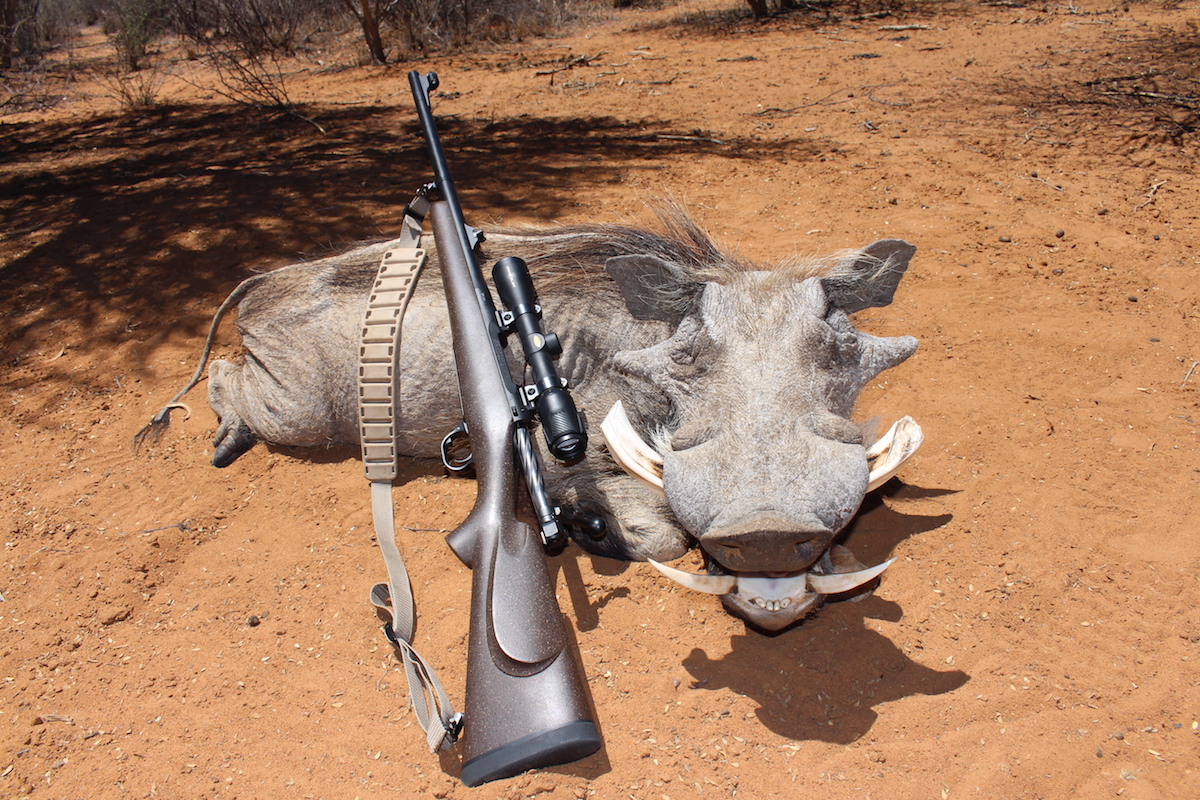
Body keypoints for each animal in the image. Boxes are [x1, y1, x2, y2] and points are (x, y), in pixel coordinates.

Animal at [138, 207, 919, 631]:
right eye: (689, 356)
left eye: (843, 348)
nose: (769, 534)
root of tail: (259, 282)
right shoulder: (561, 455)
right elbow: (660, 534)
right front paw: (591, 526)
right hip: (295, 408)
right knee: (226, 377)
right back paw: (218, 443)